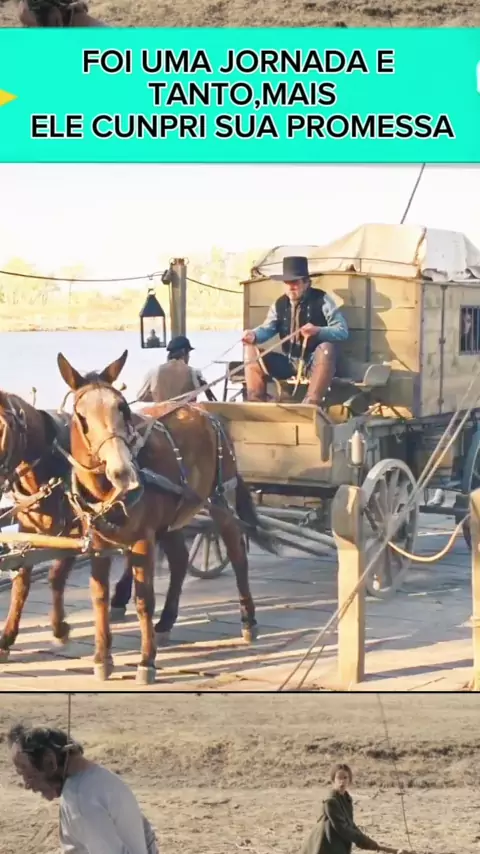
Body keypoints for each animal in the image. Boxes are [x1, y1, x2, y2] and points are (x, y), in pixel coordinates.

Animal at [57, 348, 277, 684]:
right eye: (81, 417)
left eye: (122, 407)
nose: (122, 472)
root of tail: (205, 412)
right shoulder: (97, 544)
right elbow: (99, 597)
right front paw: (102, 657)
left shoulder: (144, 539)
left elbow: (144, 599)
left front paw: (146, 661)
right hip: (175, 515)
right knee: (180, 561)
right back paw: (166, 621)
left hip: (220, 501)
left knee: (238, 555)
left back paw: (248, 621)